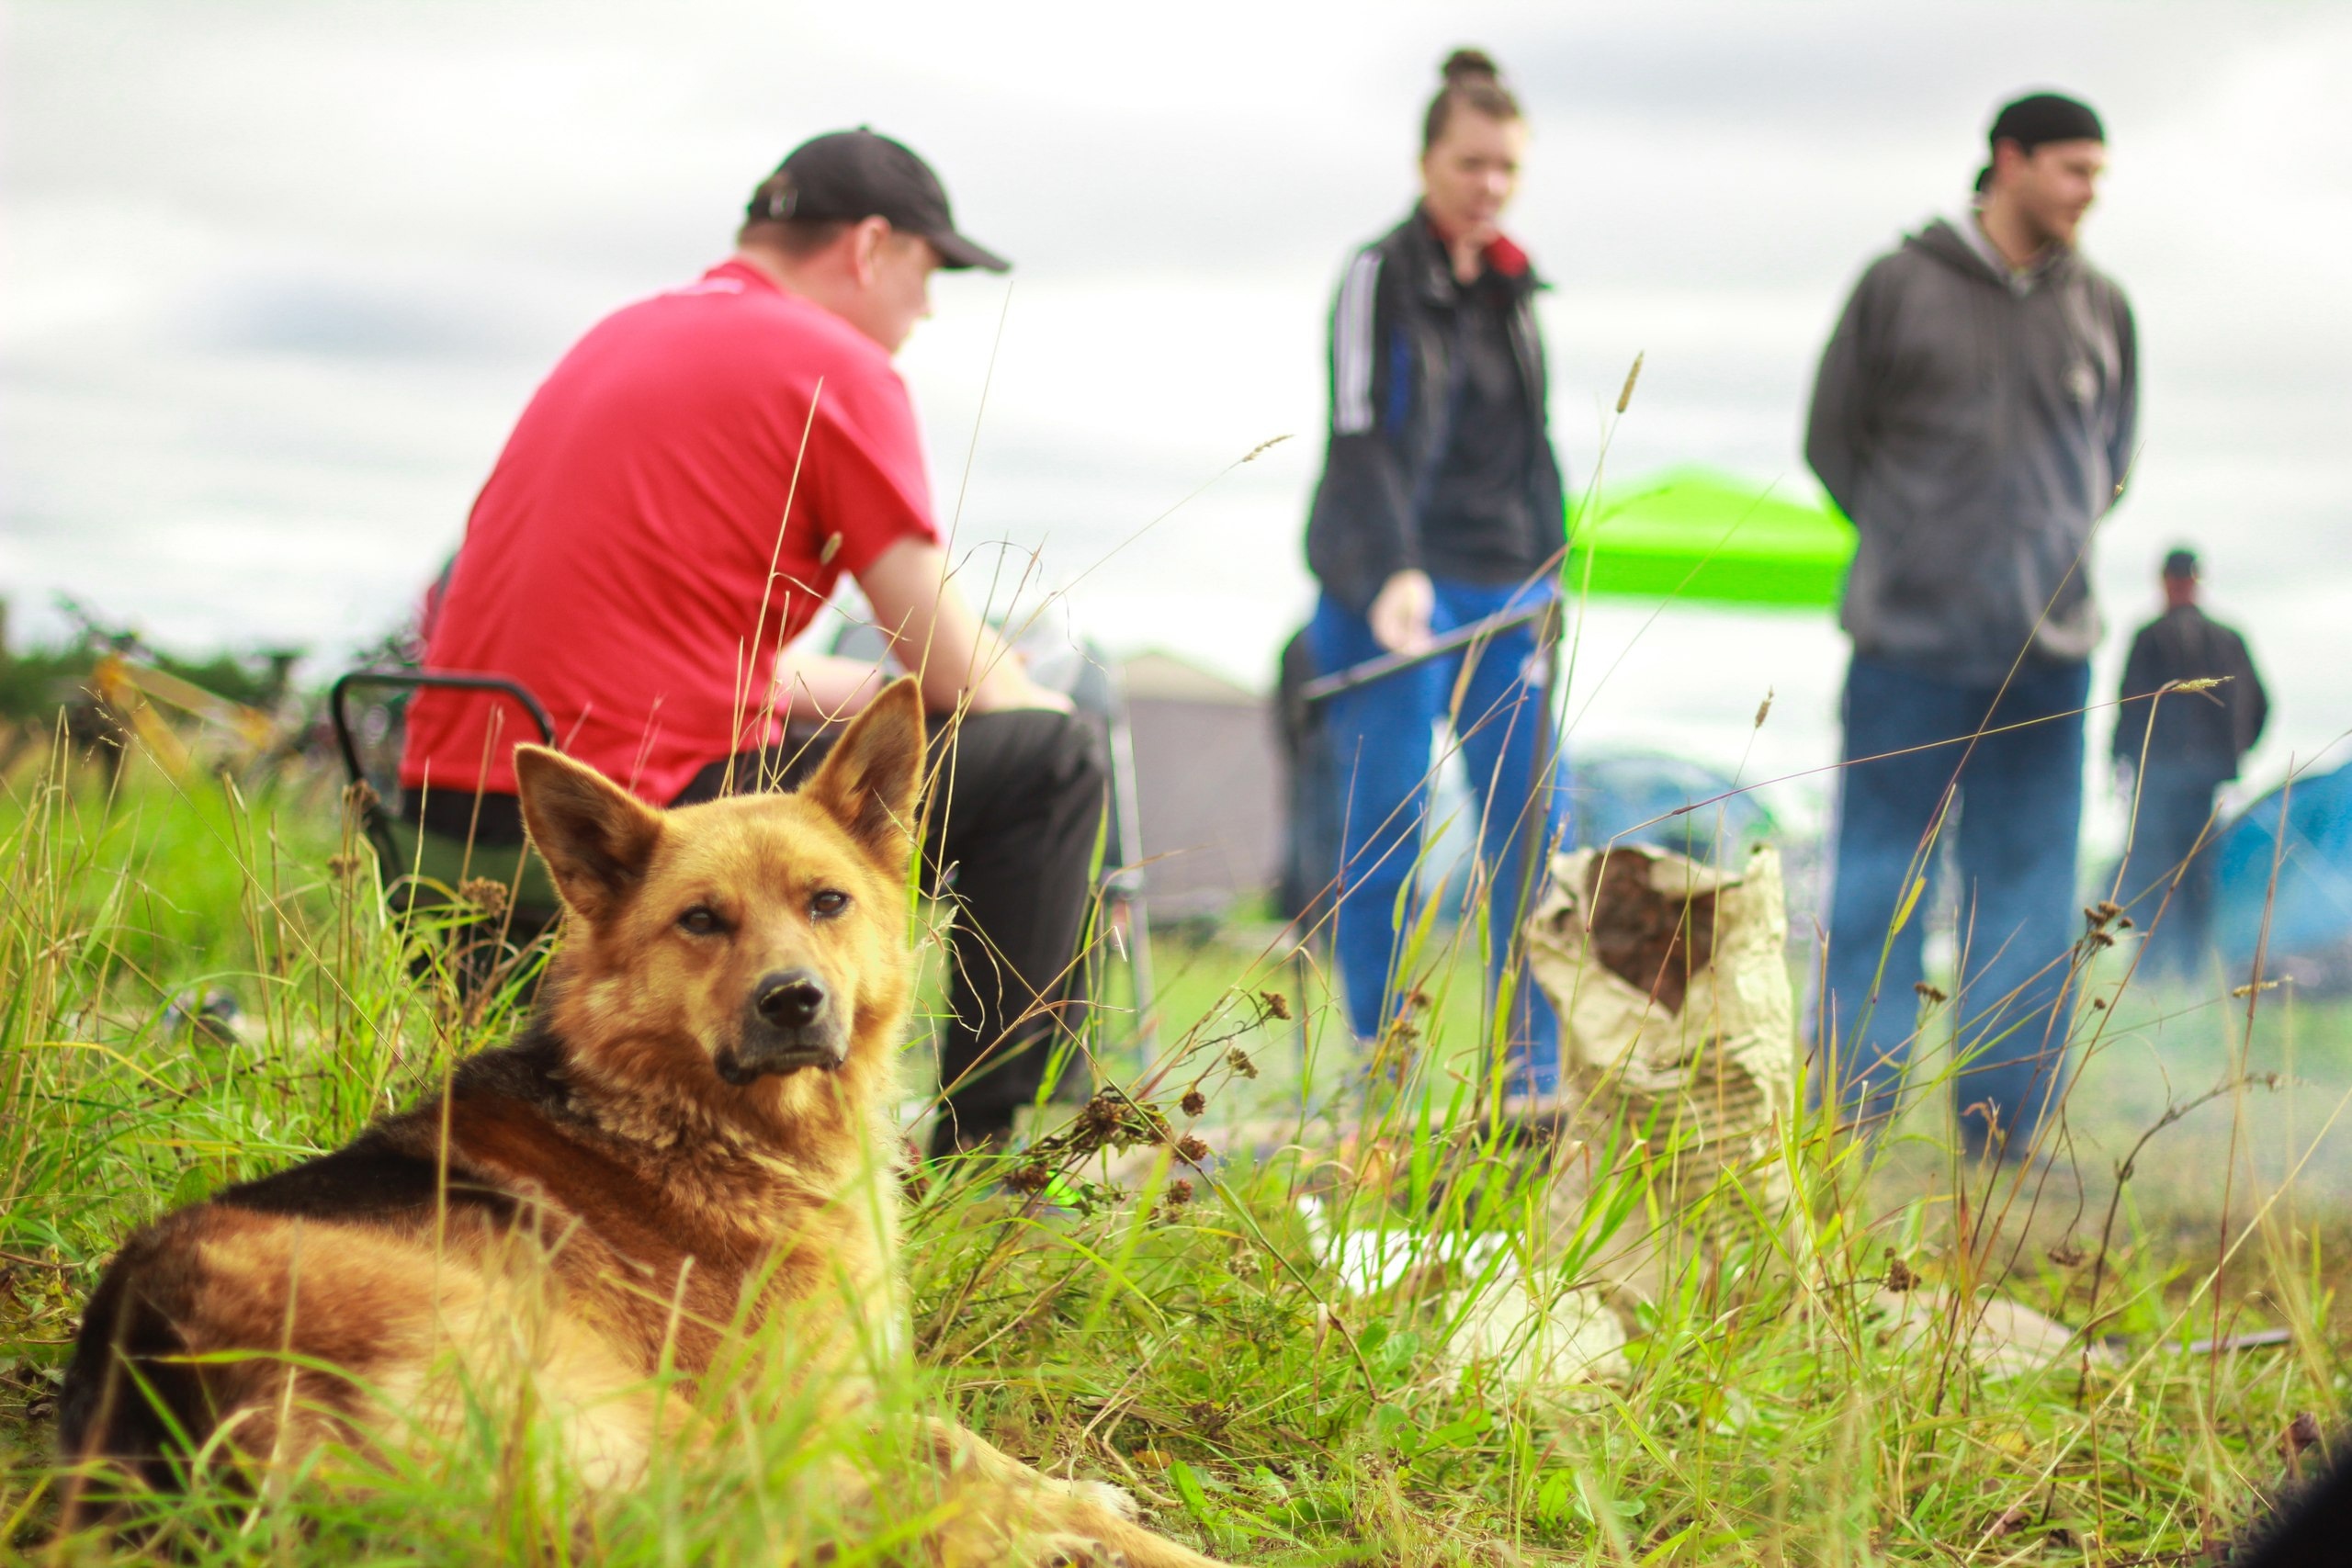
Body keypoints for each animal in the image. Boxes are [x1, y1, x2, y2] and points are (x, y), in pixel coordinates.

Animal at [57, 677, 1232, 1568]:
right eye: (700, 921)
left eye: (828, 902)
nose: (793, 1001)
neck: (695, 1119)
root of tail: (171, 1387)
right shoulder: (793, 1416)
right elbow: (949, 1470)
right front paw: (1107, 1527)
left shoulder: (845, 1397)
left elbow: (959, 1441)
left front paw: (1080, 1496)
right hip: (640, 1415)